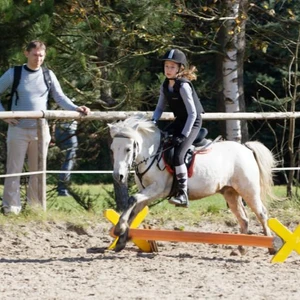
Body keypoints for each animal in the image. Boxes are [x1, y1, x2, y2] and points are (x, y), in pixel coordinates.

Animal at [108, 115, 276, 253]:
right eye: (112, 149)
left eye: (128, 149)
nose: (118, 176)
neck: (152, 154)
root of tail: (246, 148)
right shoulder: (148, 192)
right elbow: (134, 210)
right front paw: (121, 238)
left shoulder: (158, 189)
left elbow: (133, 199)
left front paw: (119, 229)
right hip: (230, 193)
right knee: (244, 219)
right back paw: (240, 249)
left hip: (248, 190)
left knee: (262, 213)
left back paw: (271, 247)